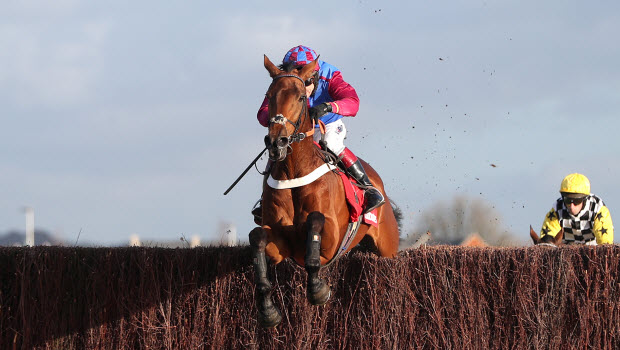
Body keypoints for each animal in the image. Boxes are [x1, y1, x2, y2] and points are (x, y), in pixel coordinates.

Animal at [248, 55, 402, 328]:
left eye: (300, 97)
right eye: (269, 95)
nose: (276, 143)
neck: (294, 172)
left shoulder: (331, 239)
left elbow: (315, 221)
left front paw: (318, 290)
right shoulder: (282, 246)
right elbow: (257, 237)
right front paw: (268, 310)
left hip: (387, 247)